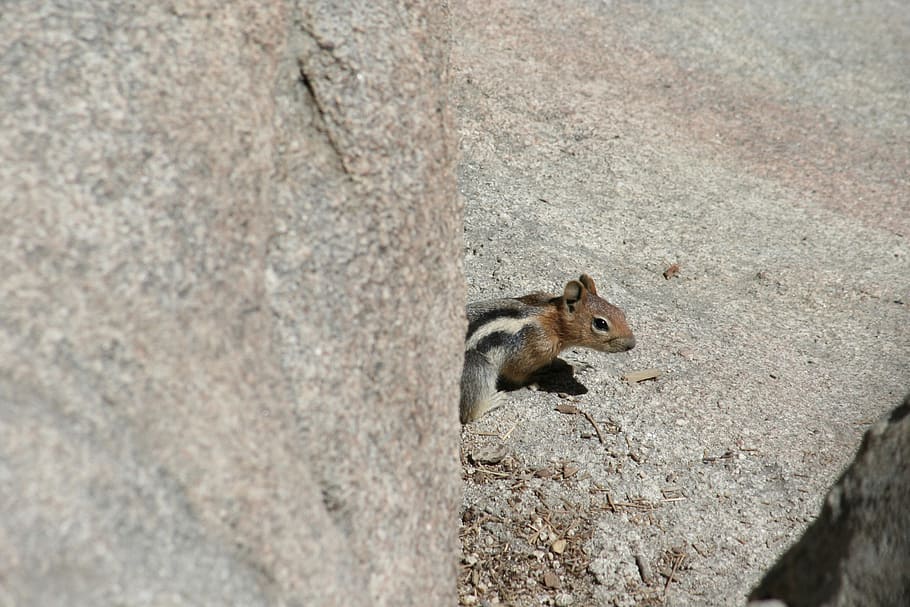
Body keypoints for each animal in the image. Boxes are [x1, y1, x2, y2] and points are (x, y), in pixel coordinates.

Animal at [460, 274, 635, 423]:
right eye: (601, 323)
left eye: (620, 312)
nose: (632, 344)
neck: (553, 323)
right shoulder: (532, 349)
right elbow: (517, 374)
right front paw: (540, 377)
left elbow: (554, 360)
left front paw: (572, 363)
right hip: (477, 367)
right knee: (469, 412)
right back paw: (493, 400)